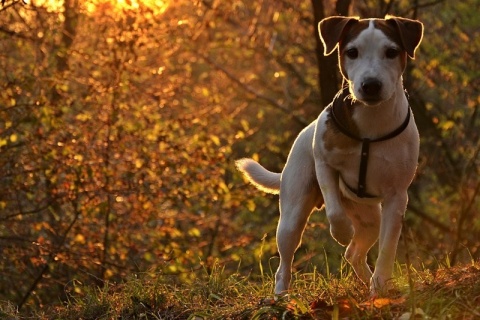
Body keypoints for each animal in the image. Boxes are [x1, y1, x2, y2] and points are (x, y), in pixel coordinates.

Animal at [236, 15, 424, 296]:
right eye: (352, 52)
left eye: (391, 52)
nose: (370, 85)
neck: (371, 123)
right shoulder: (325, 164)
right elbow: (334, 210)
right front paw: (342, 231)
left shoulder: (397, 195)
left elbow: (388, 246)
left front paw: (380, 285)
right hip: (292, 213)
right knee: (285, 261)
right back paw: (280, 295)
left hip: (370, 218)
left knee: (354, 252)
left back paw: (366, 279)